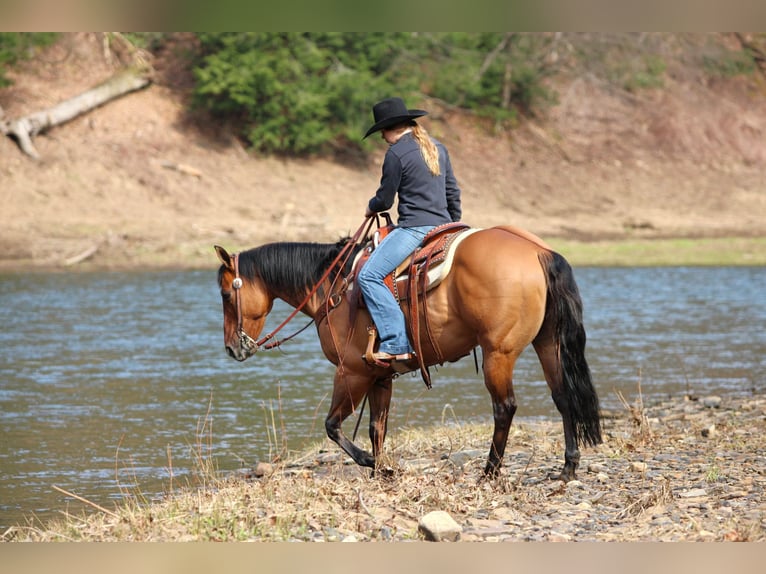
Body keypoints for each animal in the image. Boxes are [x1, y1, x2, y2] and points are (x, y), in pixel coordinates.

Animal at [214, 220, 601, 482]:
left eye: (225, 293)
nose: (232, 349)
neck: (333, 287)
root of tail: (538, 251)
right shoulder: (379, 375)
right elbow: (377, 428)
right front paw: (379, 470)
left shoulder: (351, 372)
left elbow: (333, 426)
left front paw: (375, 465)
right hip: (547, 343)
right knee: (563, 396)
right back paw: (568, 467)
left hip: (499, 353)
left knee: (504, 407)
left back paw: (489, 472)